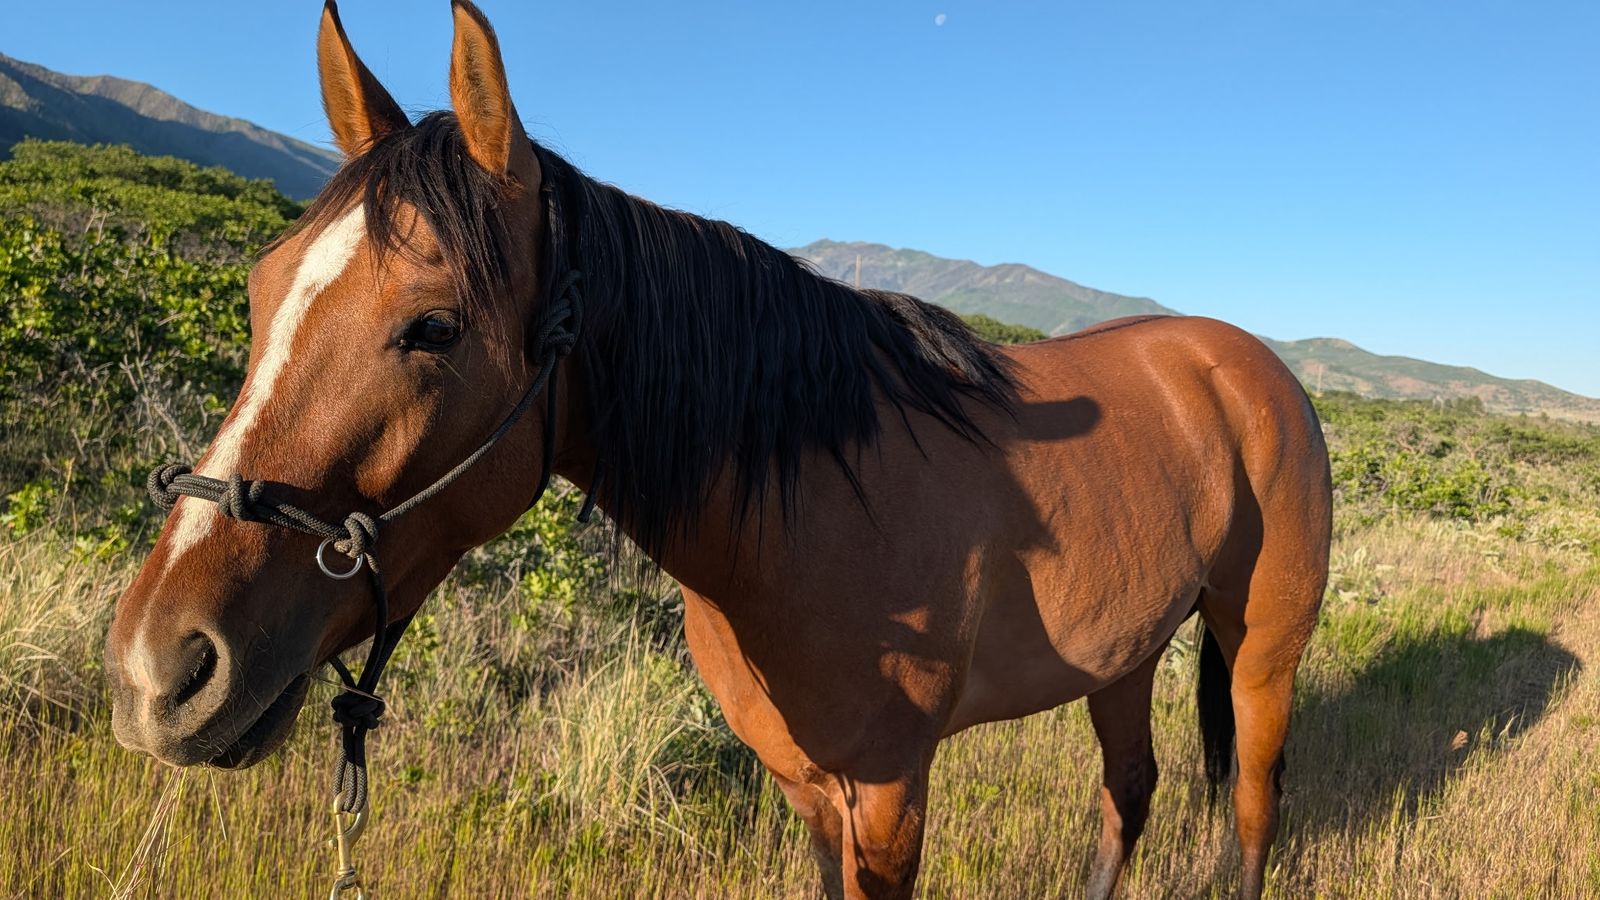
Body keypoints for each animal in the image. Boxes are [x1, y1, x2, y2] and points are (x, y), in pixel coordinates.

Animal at [103, 3, 1331, 897]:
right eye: (260, 291)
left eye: (433, 327)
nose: (162, 669)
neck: (810, 504)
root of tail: (1245, 364)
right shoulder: (813, 795)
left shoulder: (891, 795)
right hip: (1124, 656)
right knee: (1130, 794)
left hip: (1259, 653)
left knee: (1253, 807)